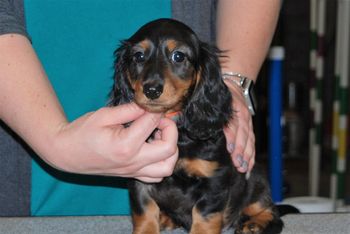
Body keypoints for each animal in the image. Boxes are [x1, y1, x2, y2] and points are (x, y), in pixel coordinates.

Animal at [109, 18, 284, 234]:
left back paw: (255, 224)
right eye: (138, 56)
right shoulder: (140, 176)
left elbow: (204, 214)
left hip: (255, 180)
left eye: (178, 56)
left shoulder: (214, 179)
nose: (151, 90)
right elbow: (144, 209)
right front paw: (147, 229)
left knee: (271, 213)